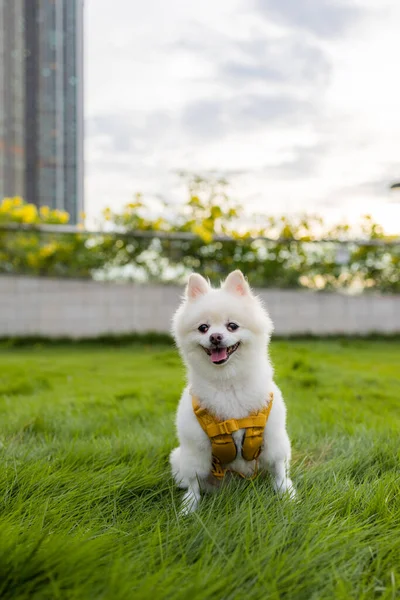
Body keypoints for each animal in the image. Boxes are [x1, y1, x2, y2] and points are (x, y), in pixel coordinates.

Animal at [170, 270, 296, 512]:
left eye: (232, 326)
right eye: (203, 328)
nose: (215, 337)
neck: (227, 382)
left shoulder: (274, 436)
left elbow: (279, 471)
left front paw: (287, 495)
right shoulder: (195, 446)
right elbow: (194, 481)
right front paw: (190, 507)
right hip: (181, 457)